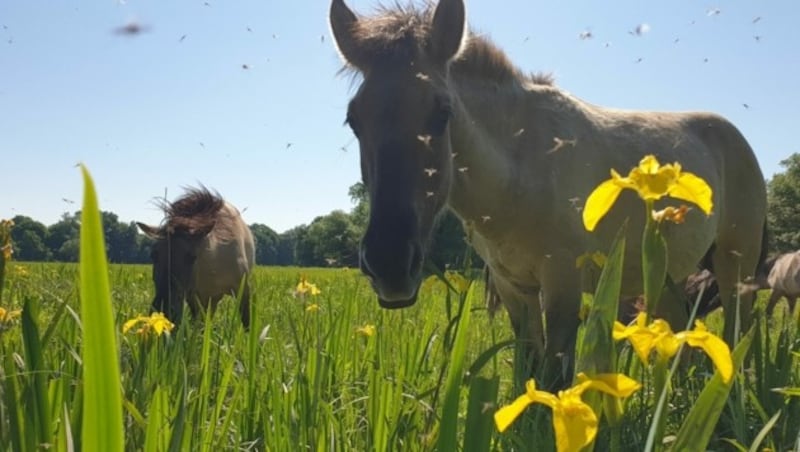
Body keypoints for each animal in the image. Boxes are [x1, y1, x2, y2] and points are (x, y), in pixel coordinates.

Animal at [134, 187, 253, 328]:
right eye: (153, 255)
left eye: (192, 257)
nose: (164, 312)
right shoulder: (196, 297)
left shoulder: (243, 290)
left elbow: (247, 323)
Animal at [330, 0, 768, 384]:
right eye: (354, 120)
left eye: (443, 113)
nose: (388, 263)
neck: (521, 173)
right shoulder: (514, 288)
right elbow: (530, 367)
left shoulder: (562, 282)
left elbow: (556, 376)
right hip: (664, 276)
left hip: (735, 267)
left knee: (737, 334)